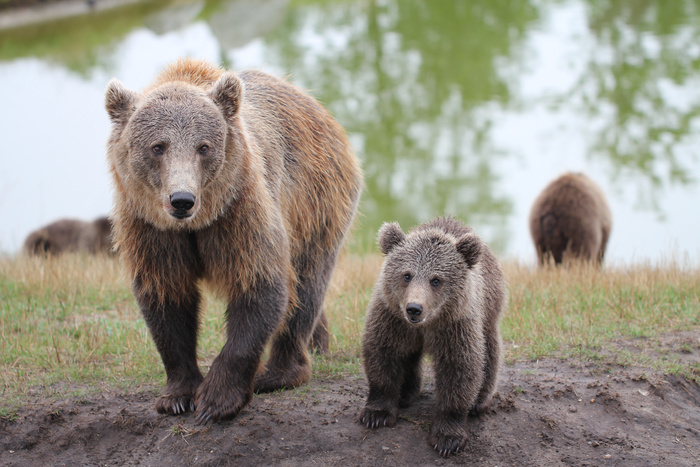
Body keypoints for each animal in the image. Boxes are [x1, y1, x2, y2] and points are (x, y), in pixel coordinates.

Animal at [106, 58, 364, 424]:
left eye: (203, 146)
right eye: (158, 146)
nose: (182, 200)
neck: (197, 224)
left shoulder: (240, 210)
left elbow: (260, 284)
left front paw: (217, 398)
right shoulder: (150, 227)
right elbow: (166, 298)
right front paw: (178, 396)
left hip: (316, 200)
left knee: (306, 284)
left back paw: (280, 372)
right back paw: (320, 341)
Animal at [360, 218, 504, 458]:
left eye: (436, 280)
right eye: (407, 275)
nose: (414, 308)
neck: (428, 324)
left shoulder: (455, 326)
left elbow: (459, 369)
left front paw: (448, 437)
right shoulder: (392, 319)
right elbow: (383, 353)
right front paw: (376, 414)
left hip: (489, 305)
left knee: (490, 348)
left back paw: (480, 402)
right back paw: (406, 393)